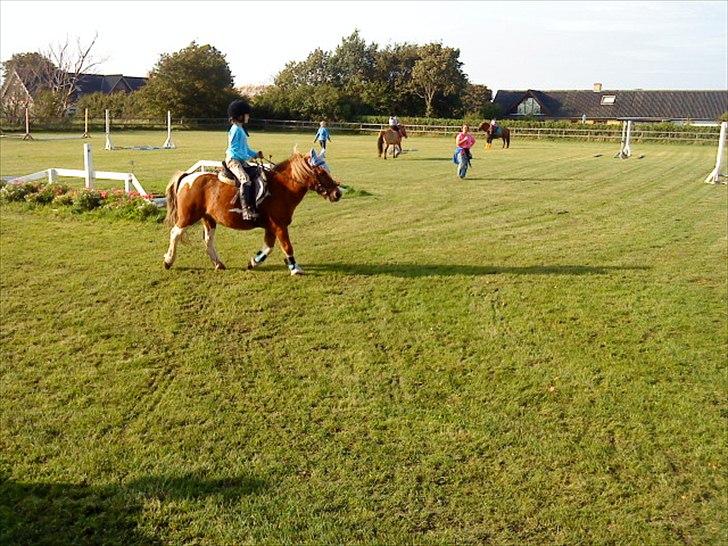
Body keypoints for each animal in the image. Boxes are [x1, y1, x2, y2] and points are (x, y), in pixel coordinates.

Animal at [164, 149, 340, 274]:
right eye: (321, 172)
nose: (337, 193)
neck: (282, 188)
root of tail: (188, 176)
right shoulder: (280, 226)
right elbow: (287, 246)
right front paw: (295, 268)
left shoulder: (271, 227)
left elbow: (268, 247)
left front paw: (253, 262)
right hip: (188, 217)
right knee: (175, 233)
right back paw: (168, 261)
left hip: (208, 219)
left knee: (208, 240)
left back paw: (218, 264)